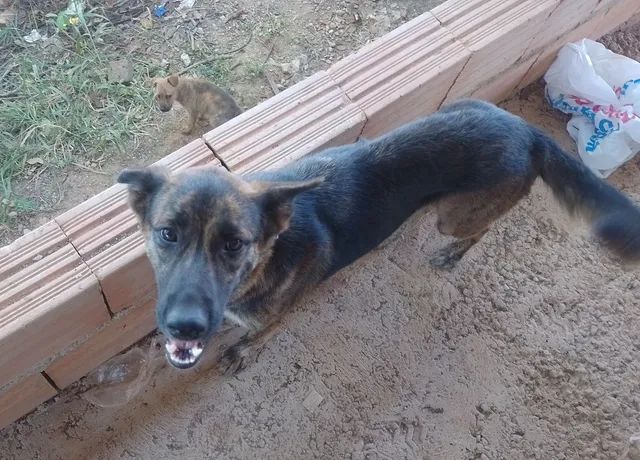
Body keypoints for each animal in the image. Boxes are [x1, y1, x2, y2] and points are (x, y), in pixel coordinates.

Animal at [117, 99, 640, 372]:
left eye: (234, 244)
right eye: (167, 234)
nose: (185, 326)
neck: (268, 256)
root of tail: (529, 133)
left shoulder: (279, 318)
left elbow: (256, 338)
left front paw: (241, 351)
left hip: (456, 218)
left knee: (480, 229)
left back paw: (452, 255)